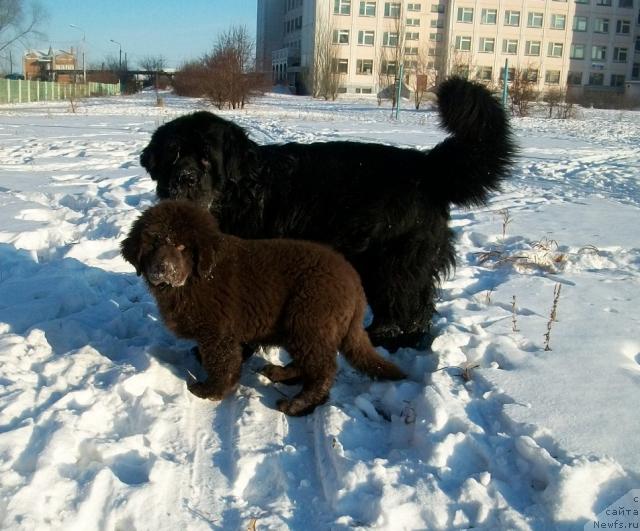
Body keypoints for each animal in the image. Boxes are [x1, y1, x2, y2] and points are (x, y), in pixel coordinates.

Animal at [120, 200, 402, 416]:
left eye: (182, 246)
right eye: (152, 244)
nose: (162, 270)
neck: (194, 279)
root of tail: (355, 282)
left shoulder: (218, 333)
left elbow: (221, 363)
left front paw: (211, 391)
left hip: (308, 319)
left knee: (323, 370)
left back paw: (298, 404)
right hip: (299, 326)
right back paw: (281, 373)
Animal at [140, 77, 516, 352]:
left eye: (206, 158)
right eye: (173, 155)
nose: (184, 178)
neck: (239, 194)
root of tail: (427, 166)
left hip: (393, 265)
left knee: (404, 311)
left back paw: (385, 342)